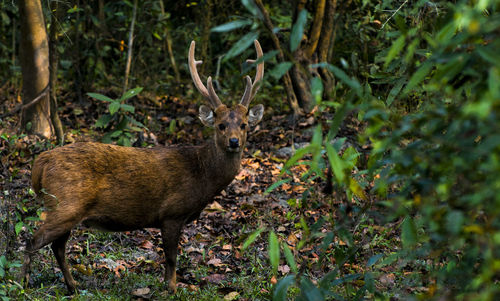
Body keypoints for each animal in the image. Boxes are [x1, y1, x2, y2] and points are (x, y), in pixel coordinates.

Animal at [22, 39, 266, 292]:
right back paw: (22, 283)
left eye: (245, 125)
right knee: (33, 241)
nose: (234, 142)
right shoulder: (171, 213)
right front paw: (172, 288)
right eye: (220, 125)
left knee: (57, 246)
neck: (201, 174)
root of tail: (40, 163)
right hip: (65, 203)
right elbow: (171, 258)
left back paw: (72, 286)